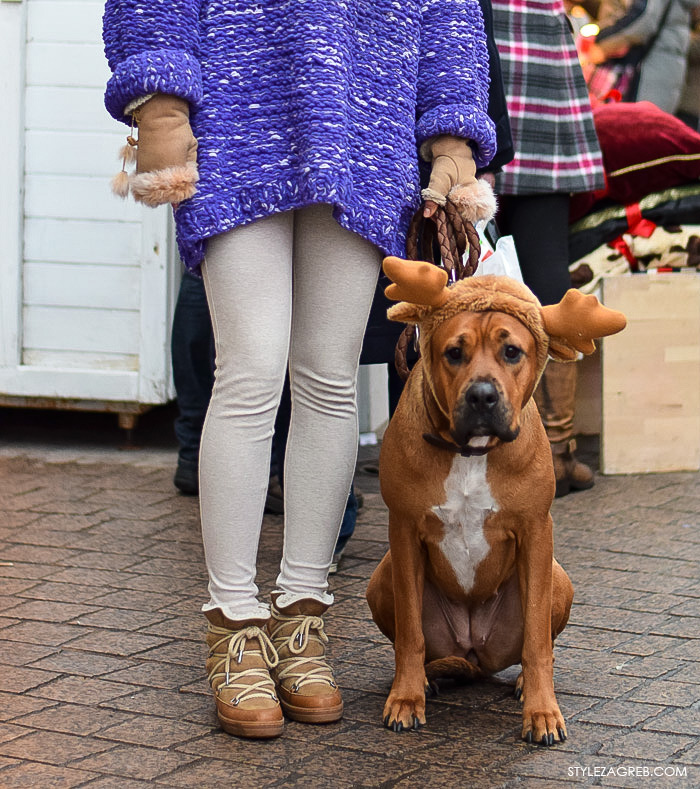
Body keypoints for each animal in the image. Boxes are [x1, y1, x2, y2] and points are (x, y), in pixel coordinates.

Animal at [364, 258, 628, 744]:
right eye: (454, 352)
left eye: (512, 352)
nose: (483, 395)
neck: (470, 451)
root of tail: (474, 653)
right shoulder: (404, 530)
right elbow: (410, 634)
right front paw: (406, 698)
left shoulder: (535, 531)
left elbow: (538, 642)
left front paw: (542, 712)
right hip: (381, 579)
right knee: (423, 645)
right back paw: (427, 678)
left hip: (559, 579)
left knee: (535, 642)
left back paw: (523, 682)